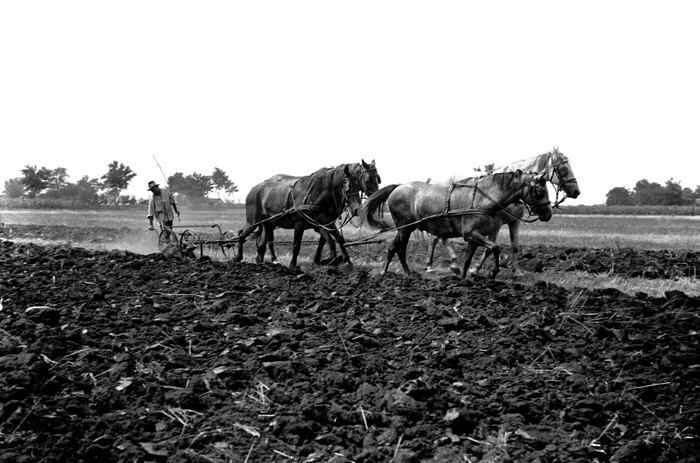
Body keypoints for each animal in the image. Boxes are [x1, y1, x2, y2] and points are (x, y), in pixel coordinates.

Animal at [360, 170, 552, 280]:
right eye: (540, 191)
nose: (548, 214)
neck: (483, 199)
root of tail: (398, 186)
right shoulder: (471, 234)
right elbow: (495, 247)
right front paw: (492, 272)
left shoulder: (476, 237)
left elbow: (469, 259)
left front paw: (463, 277)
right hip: (405, 227)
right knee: (398, 247)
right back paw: (391, 273)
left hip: (407, 227)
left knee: (397, 247)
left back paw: (401, 272)